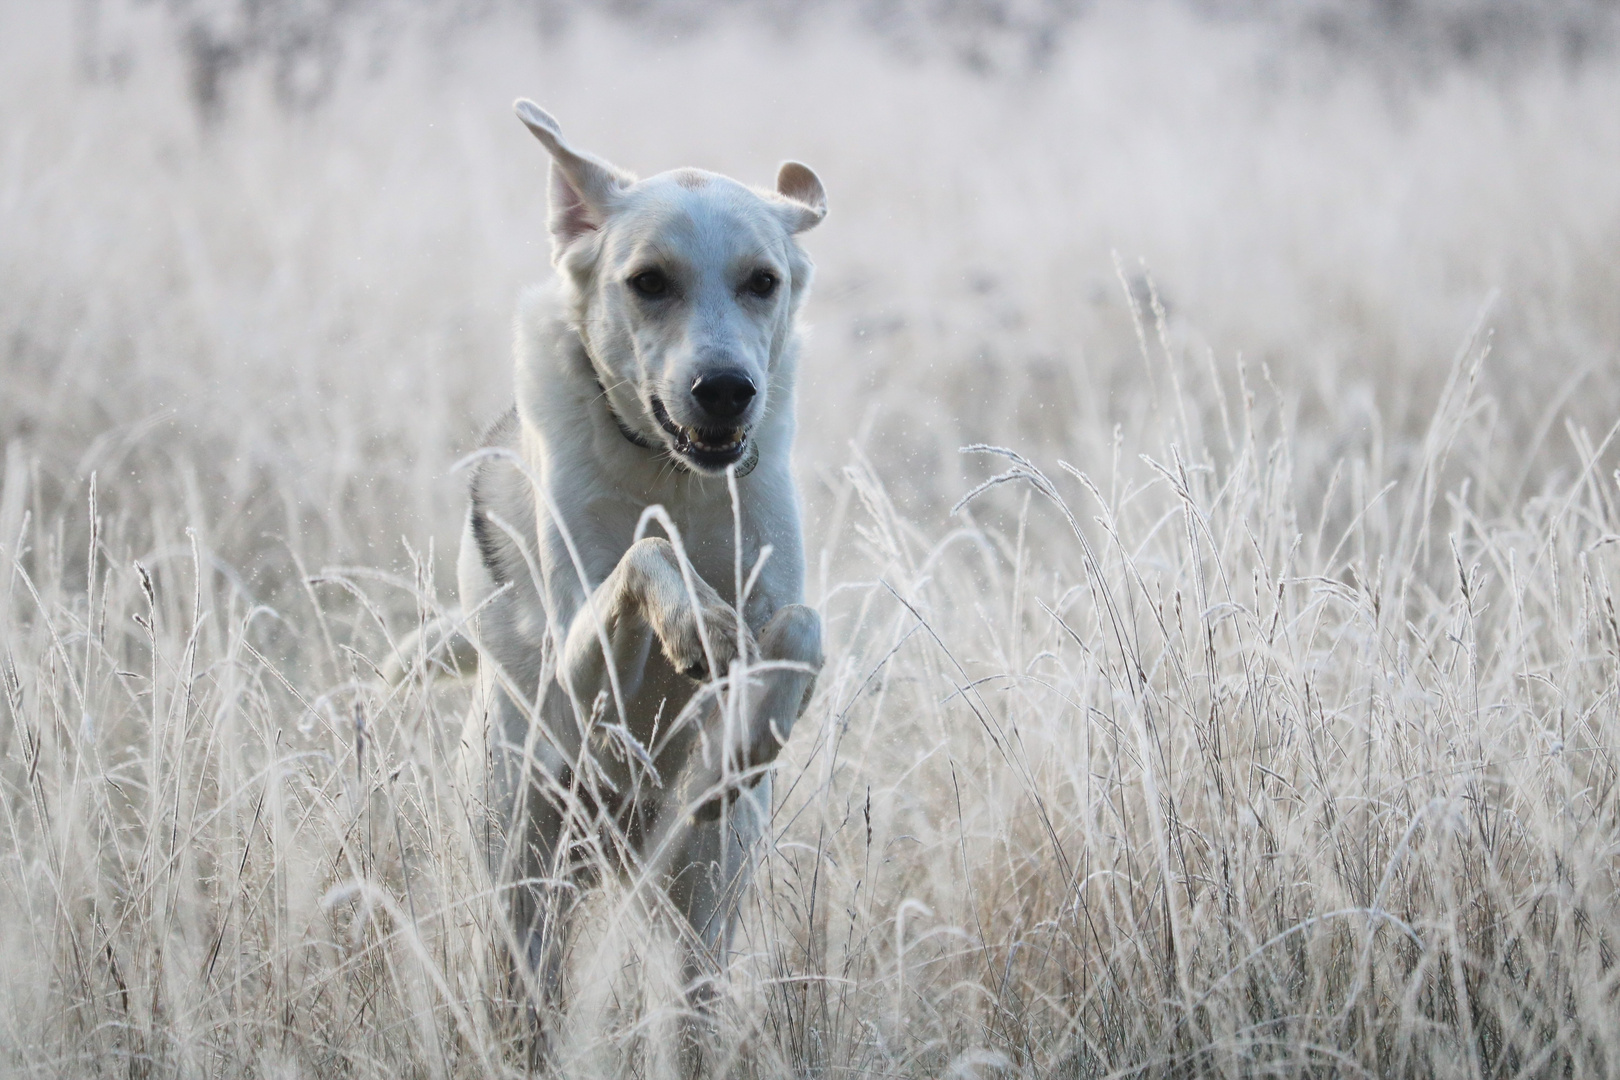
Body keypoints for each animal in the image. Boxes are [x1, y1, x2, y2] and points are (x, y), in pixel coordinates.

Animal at [437, 103, 822, 1036]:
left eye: (763, 281)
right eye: (648, 281)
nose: (726, 388)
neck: (672, 475)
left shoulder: (779, 598)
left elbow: (800, 627)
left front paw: (749, 735)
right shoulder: (581, 682)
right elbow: (645, 560)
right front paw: (694, 621)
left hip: (698, 906)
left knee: (691, 987)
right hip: (524, 886)